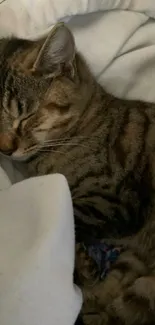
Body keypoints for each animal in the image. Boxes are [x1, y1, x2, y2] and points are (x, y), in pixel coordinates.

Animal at [0, 22, 155, 322]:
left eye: (25, 117)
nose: (4, 149)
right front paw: (85, 268)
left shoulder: (114, 202)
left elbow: (73, 215)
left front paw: (83, 264)